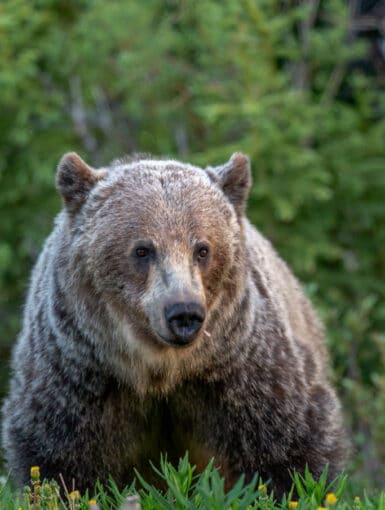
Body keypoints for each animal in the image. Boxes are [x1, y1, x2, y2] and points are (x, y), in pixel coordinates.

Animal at [1, 151, 346, 498]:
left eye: (202, 249)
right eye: (142, 249)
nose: (184, 313)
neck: (163, 369)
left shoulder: (242, 369)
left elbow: (286, 445)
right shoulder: (81, 375)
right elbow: (60, 455)